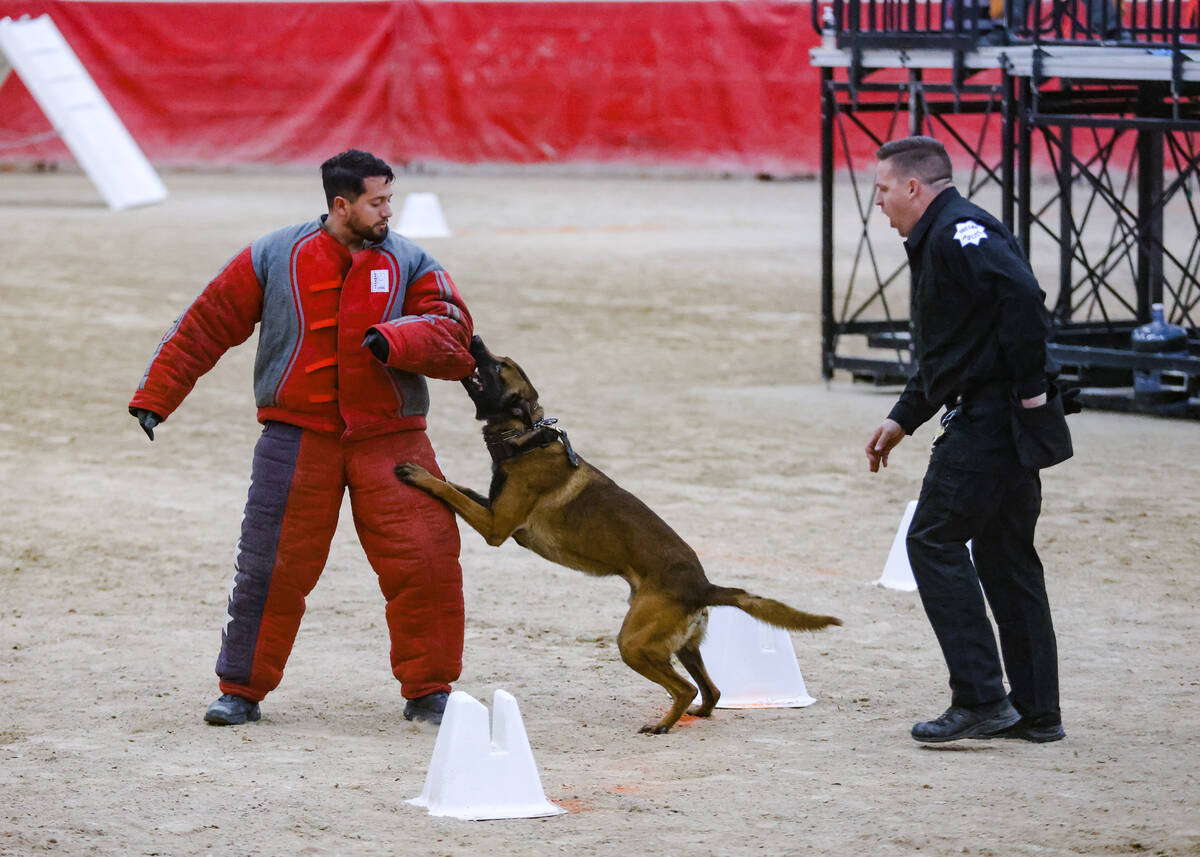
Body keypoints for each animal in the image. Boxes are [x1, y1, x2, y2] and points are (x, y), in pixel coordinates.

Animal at [398, 336, 840, 729]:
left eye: (498, 366)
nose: (473, 337)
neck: (528, 439)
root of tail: (703, 585)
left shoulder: (495, 526)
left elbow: (450, 490)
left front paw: (418, 474)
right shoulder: (493, 509)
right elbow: (459, 487)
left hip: (633, 644)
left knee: (684, 688)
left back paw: (662, 725)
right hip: (680, 646)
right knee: (710, 691)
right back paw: (693, 715)